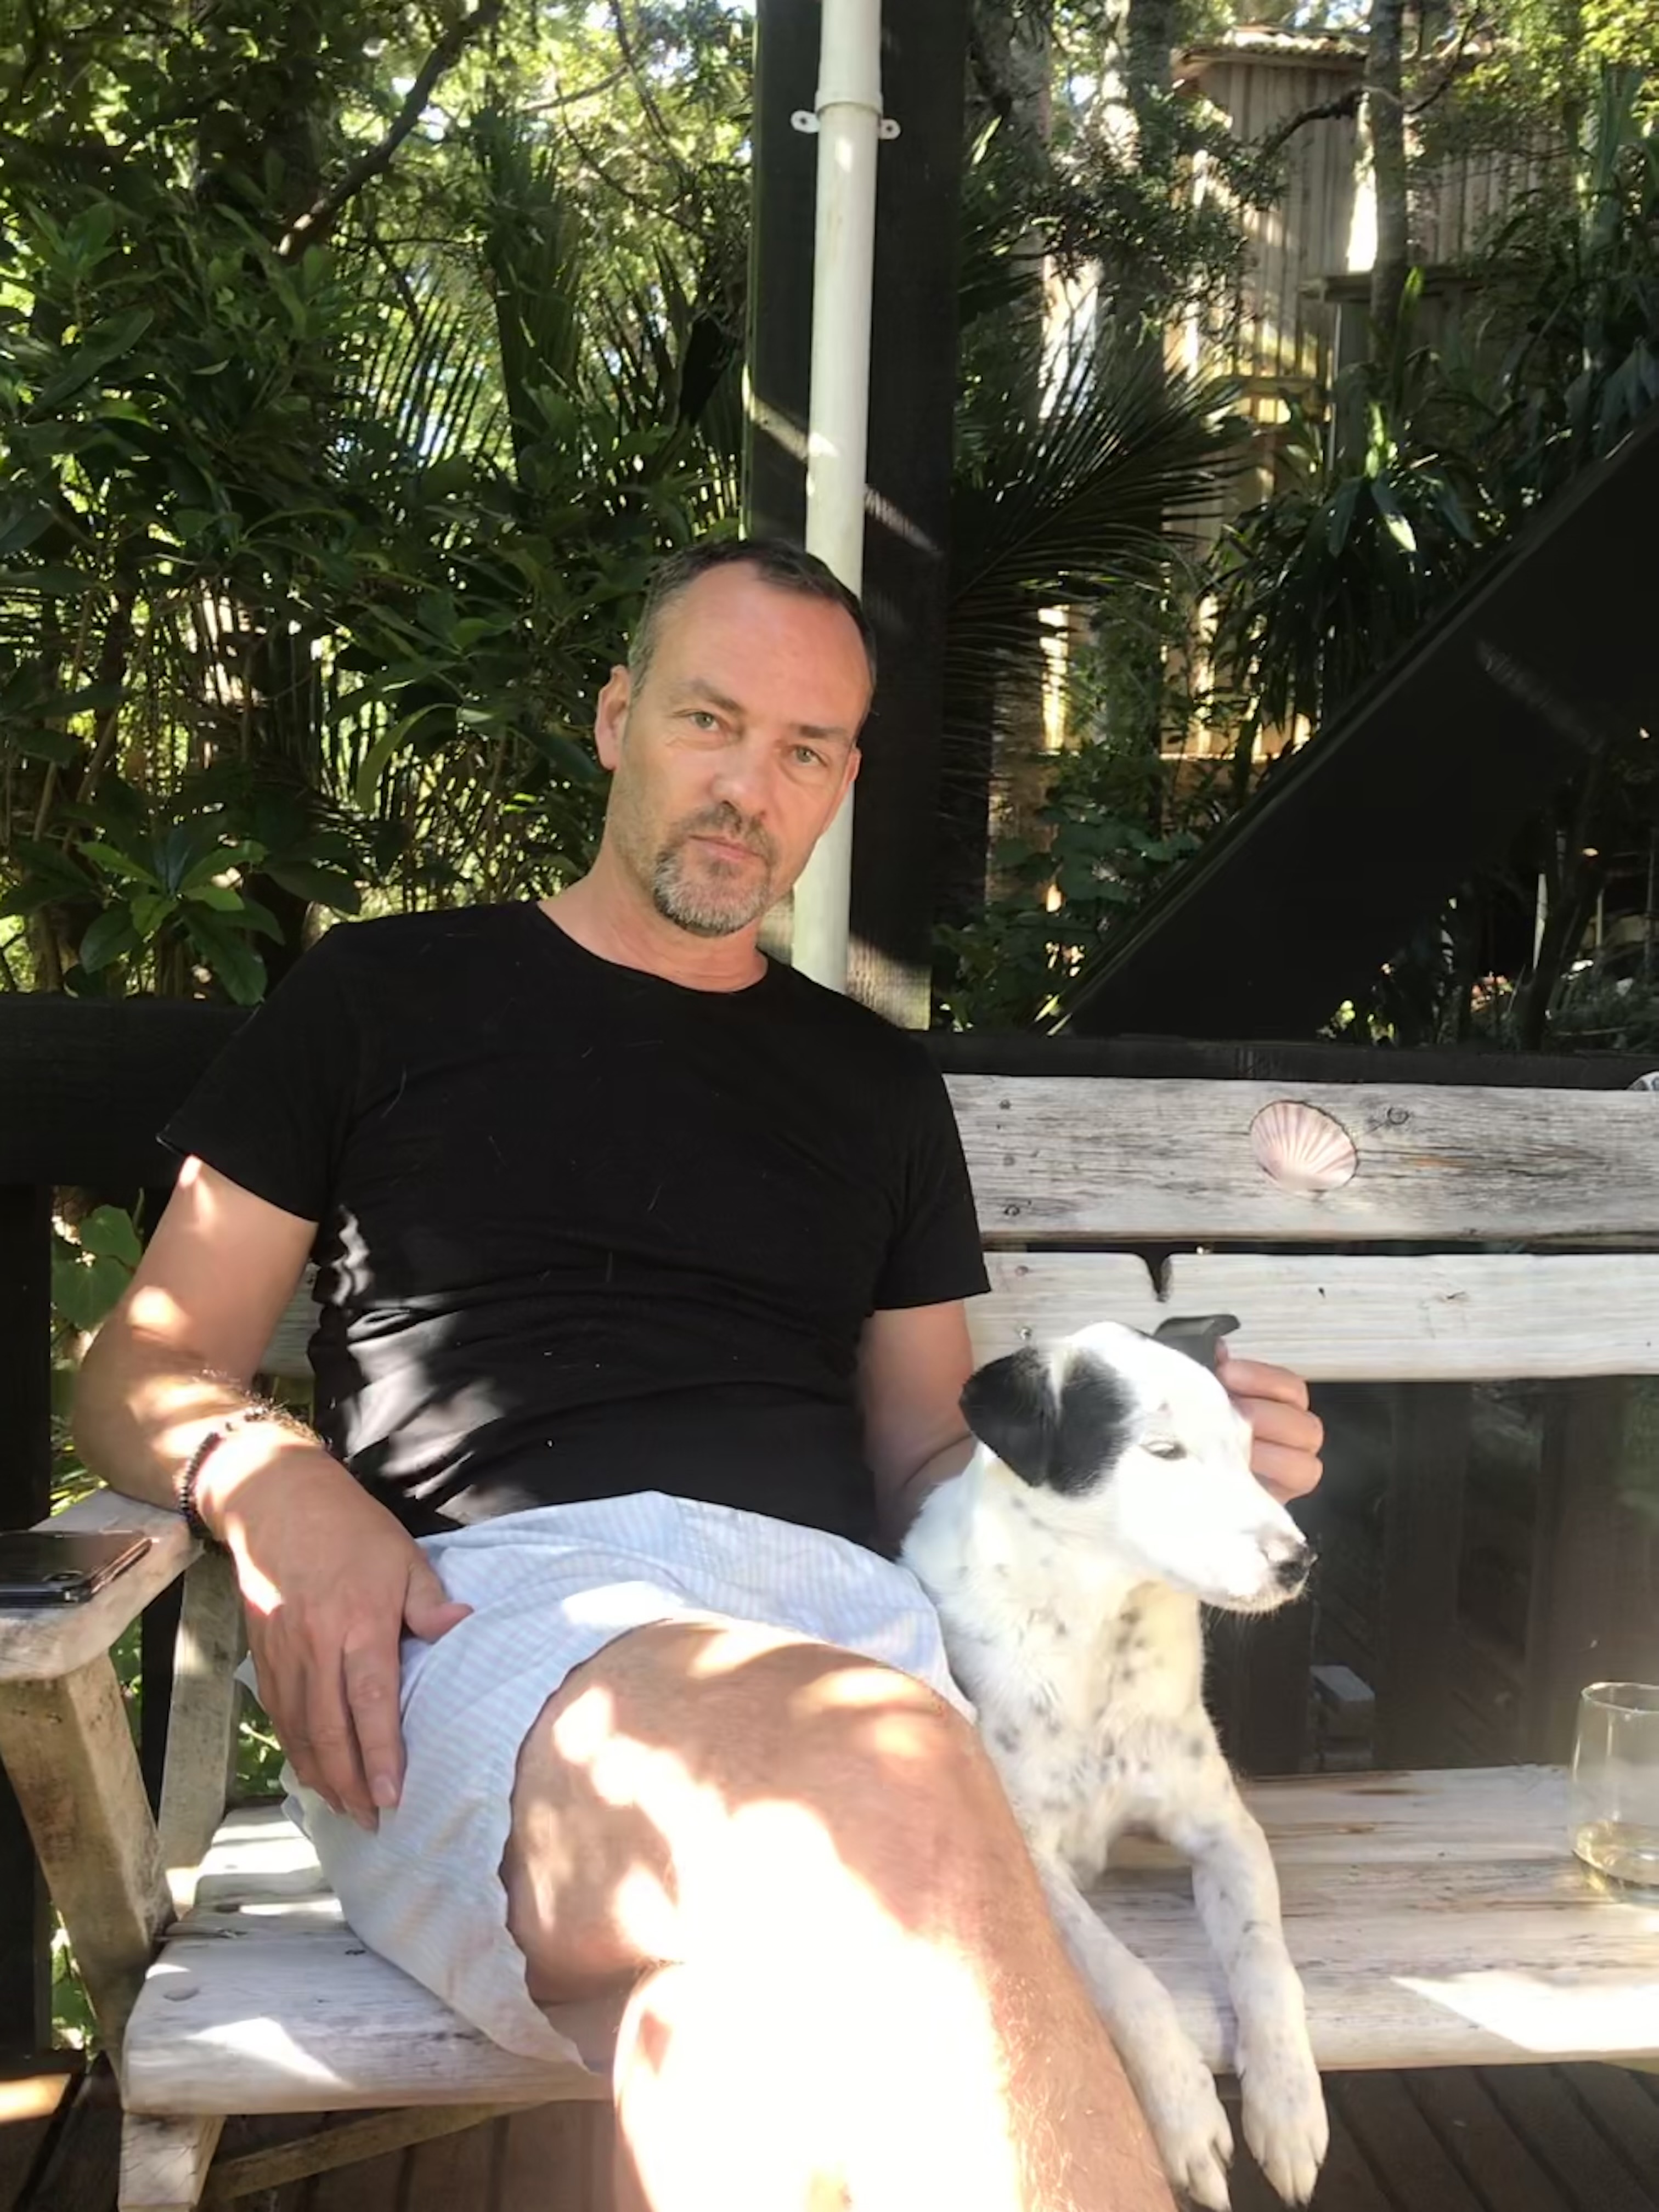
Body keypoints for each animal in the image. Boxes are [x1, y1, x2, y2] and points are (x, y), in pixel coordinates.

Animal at [901, 1316, 1329, 2210]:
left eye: (1248, 1447)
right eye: (1162, 1452)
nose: (1299, 1561)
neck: (1104, 1633)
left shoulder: (1227, 1831)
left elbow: (1265, 1959)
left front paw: (1287, 2104)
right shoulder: (1031, 1859)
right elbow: (1128, 1979)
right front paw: (1187, 2115)